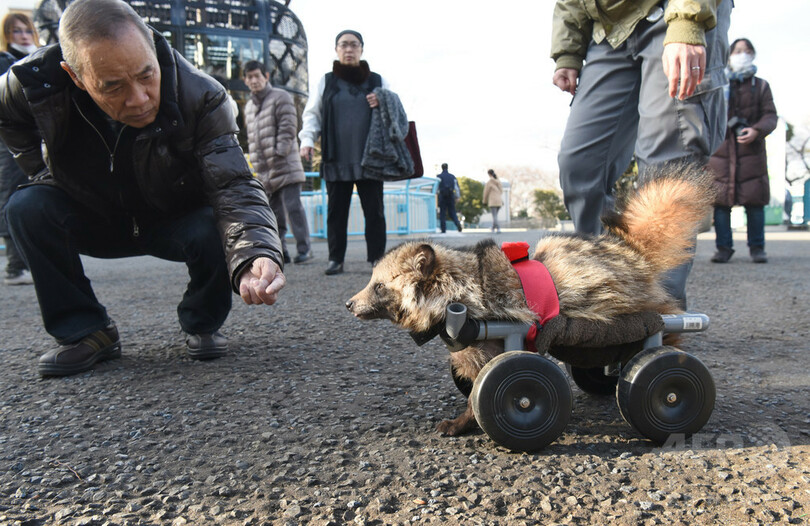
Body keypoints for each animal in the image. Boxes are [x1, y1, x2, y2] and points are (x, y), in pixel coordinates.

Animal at [346, 163, 715, 436]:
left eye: (378, 286)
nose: (349, 304)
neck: (456, 286)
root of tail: (632, 253)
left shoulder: (492, 333)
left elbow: (489, 385)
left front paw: (469, 419)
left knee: (661, 338)